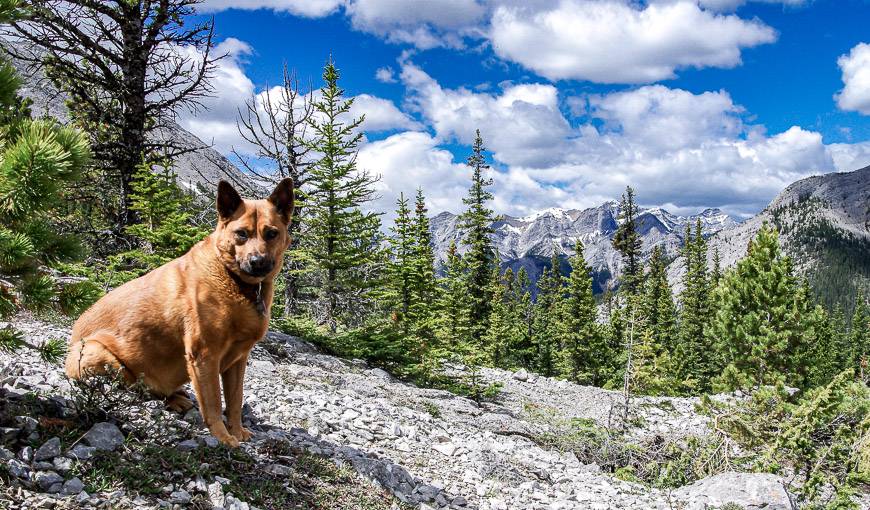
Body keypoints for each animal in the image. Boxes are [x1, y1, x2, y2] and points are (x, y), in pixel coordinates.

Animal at [65, 179, 296, 446]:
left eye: (271, 233)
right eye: (241, 234)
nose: (258, 262)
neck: (236, 281)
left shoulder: (238, 360)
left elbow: (235, 401)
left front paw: (237, 431)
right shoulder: (204, 355)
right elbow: (214, 403)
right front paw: (223, 437)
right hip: (100, 354)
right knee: (136, 388)